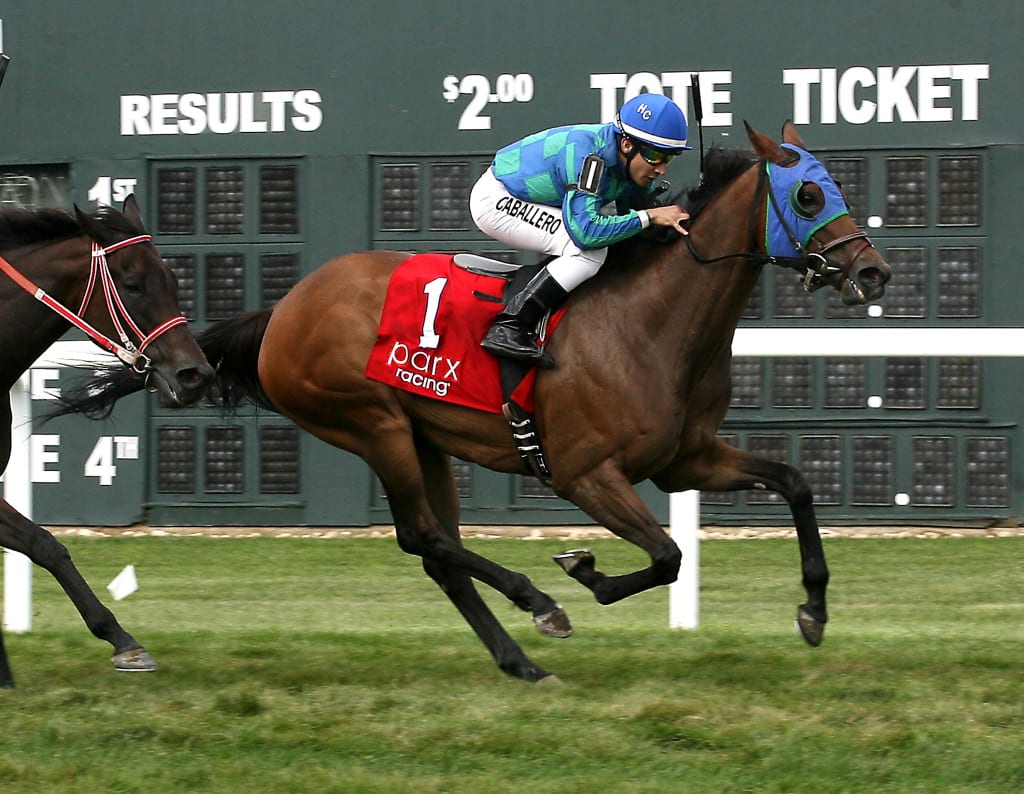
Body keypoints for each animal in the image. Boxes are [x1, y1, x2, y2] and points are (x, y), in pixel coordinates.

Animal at [59, 123, 888, 684]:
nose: (874, 272)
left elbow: (794, 483)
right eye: (809, 192)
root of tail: (286, 309)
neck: (652, 321)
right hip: (371, 423)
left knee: (437, 551)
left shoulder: (686, 460)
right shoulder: (585, 473)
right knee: (425, 537)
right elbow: (667, 555)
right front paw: (585, 573)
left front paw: (814, 610)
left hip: (421, 435)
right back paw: (538, 603)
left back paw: (520, 658)